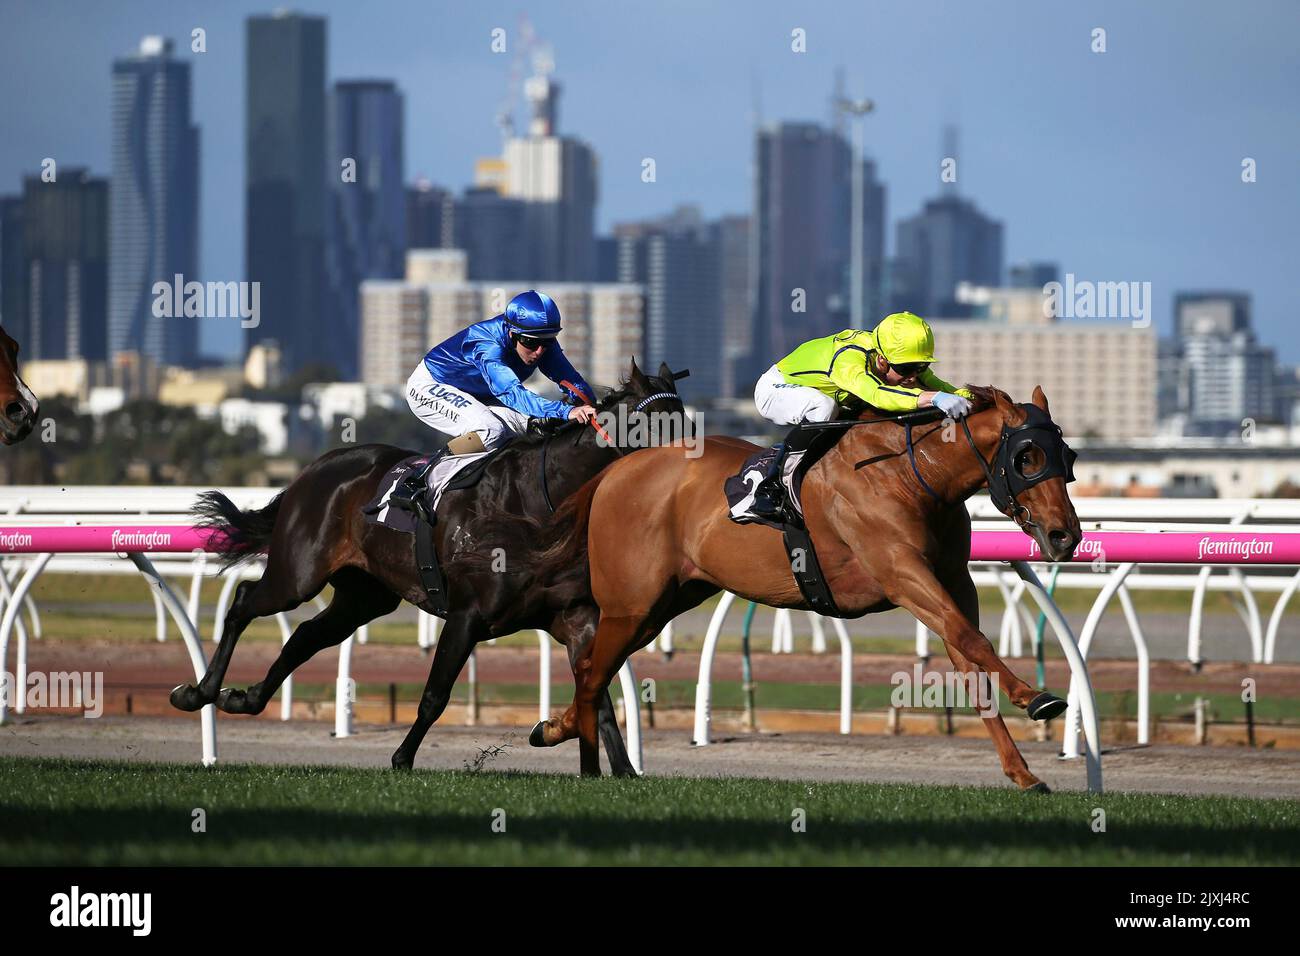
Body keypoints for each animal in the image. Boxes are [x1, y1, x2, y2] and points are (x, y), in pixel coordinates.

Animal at [172, 361, 691, 775]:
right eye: (654, 422)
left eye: (684, 419)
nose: (688, 473)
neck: (538, 507)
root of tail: (314, 469)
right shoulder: (467, 617)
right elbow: (434, 696)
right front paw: (402, 759)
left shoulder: (576, 619)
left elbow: (599, 697)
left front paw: (624, 773)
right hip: (299, 573)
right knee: (245, 603)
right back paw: (197, 693)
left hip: (365, 595)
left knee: (305, 636)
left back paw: (244, 698)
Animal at [527, 385, 1086, 790]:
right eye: (1028, 457)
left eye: (1069, 456)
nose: (1066, 536)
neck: (911, 474)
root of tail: (616, 471)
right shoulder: (901, 572)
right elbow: (975, 640)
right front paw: (1036, 696)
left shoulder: (951, 581)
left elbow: (970, 663)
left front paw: (1024, 773)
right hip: (632, 602)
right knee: (594, 668)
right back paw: (577, 747)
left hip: (663, 603)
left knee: (593, 667)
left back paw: (557, 729)